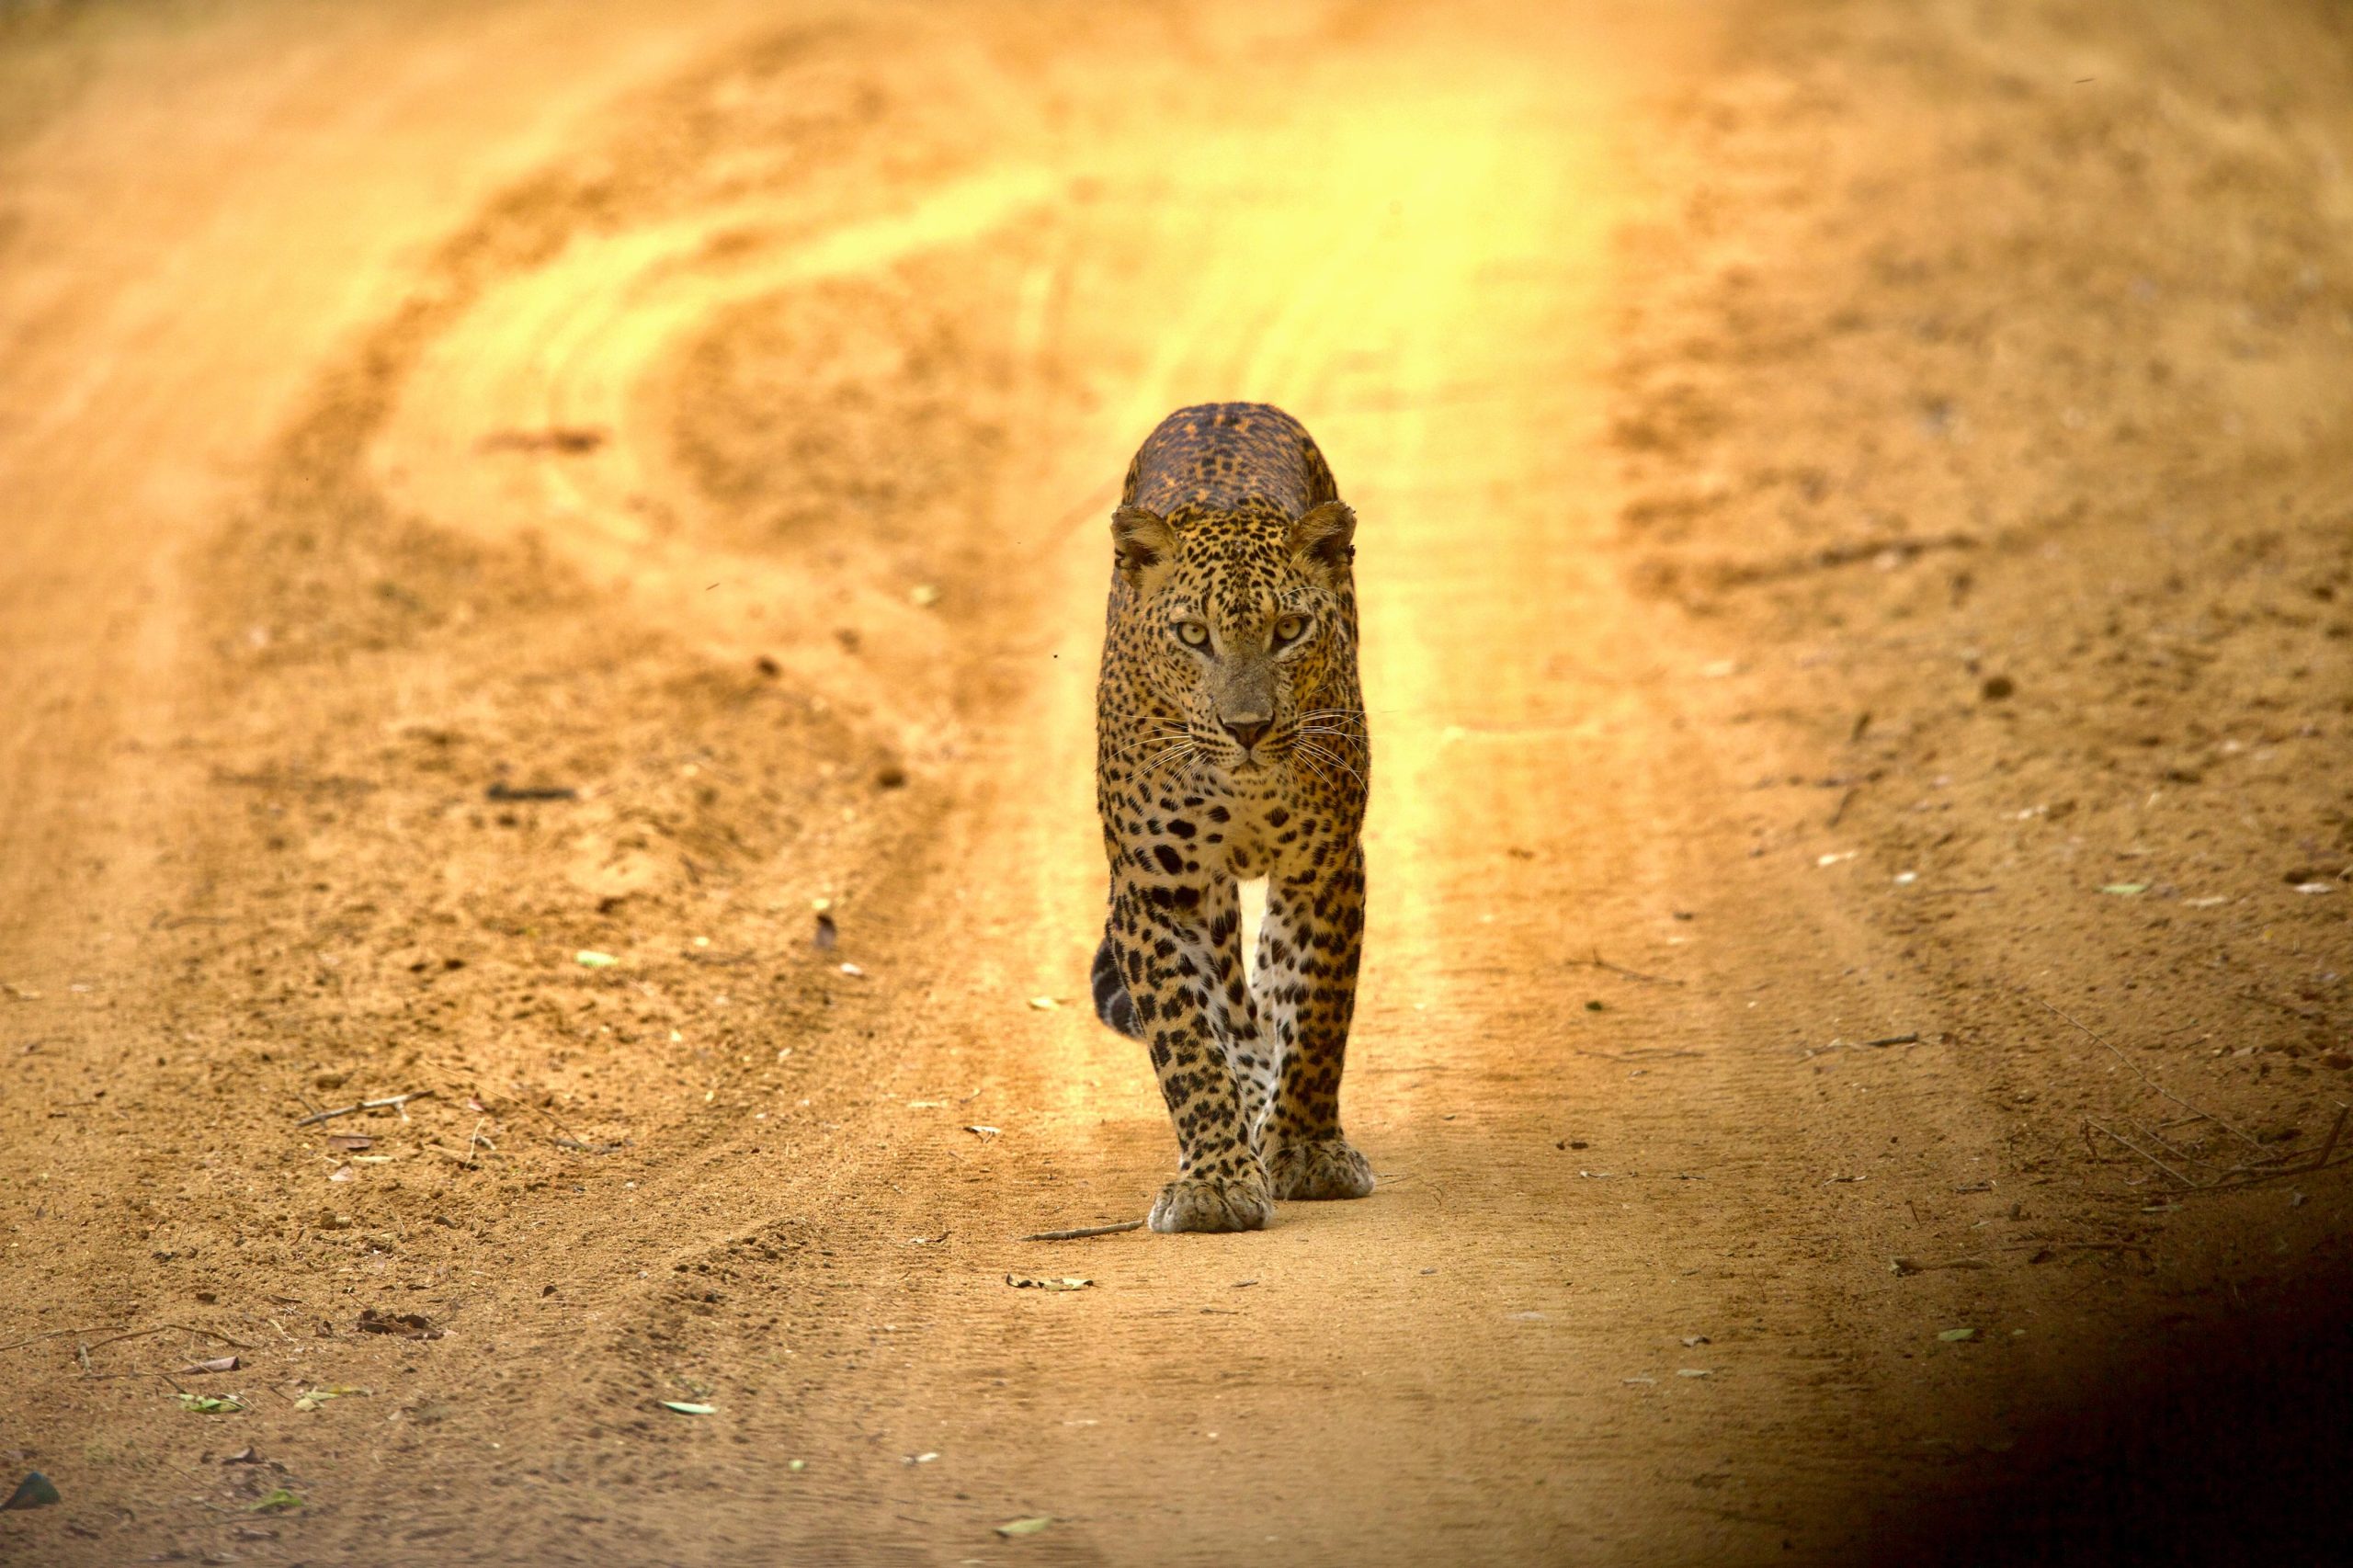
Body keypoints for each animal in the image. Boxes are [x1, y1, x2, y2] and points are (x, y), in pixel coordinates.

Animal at [1089, 402, 1376, 1233]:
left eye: (1290, 631)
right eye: (1193, 635)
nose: (1247, 727)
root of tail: (1224, 405)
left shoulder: (1325, 867)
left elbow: (1318, 1013)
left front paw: (1308, 1150)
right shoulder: (1157, 890)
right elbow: (1186, 1041)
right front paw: (1214, 1182)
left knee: (1271, 990)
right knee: (1234, 1008)